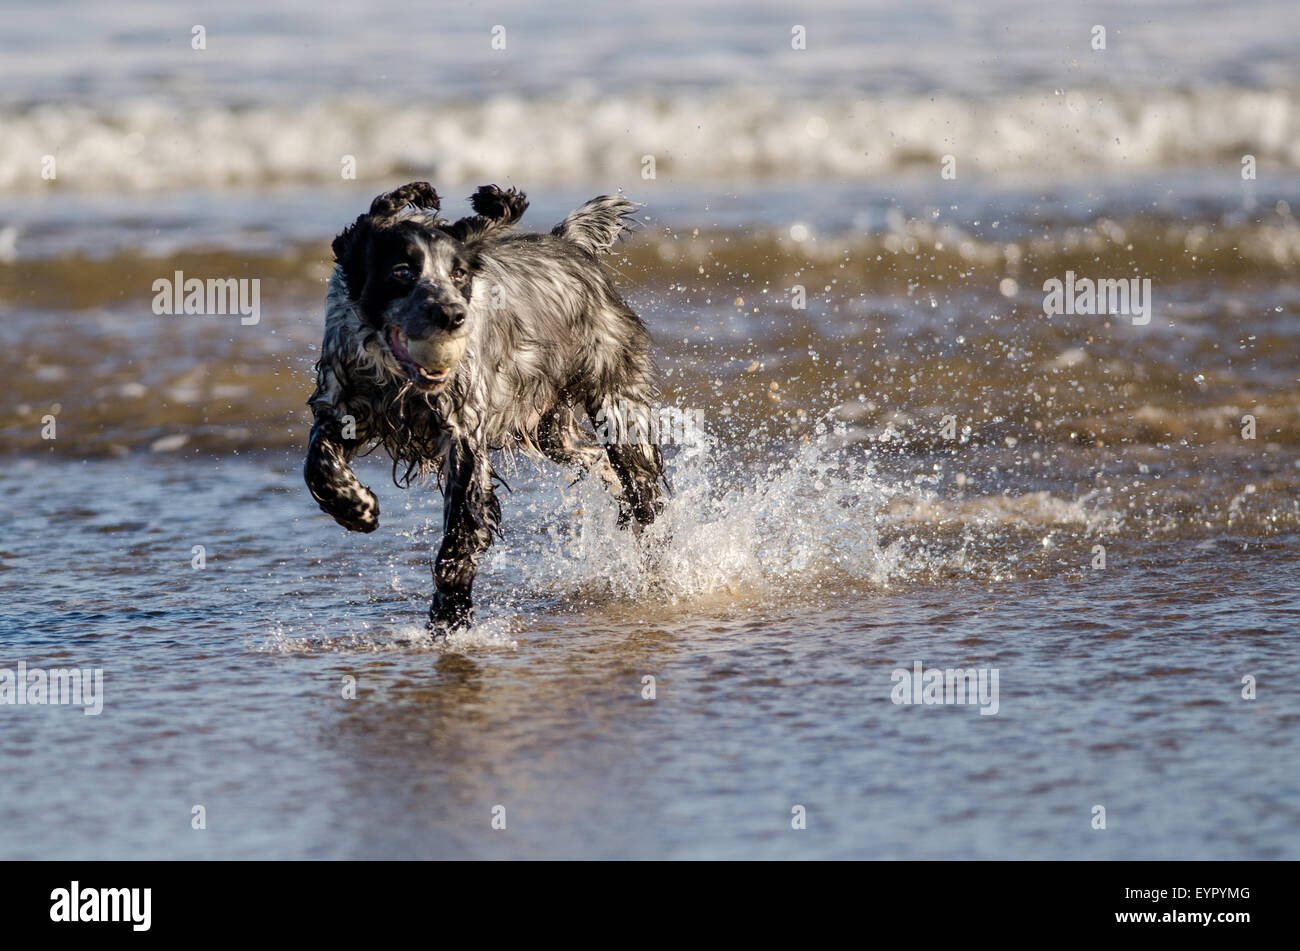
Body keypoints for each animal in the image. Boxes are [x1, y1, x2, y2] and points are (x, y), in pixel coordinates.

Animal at [306, 184, 670, 631]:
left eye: (459, 274)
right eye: (402, 271)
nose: (452, 315)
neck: (395, 380)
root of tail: (569, 243)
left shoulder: (463, 437)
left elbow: (460, 536)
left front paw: (450, 615)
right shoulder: (340, 406)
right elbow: (318, 466)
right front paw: (356, 507)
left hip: (619, 410)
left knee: (645, 498)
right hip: (553, 432)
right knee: (597, 460)